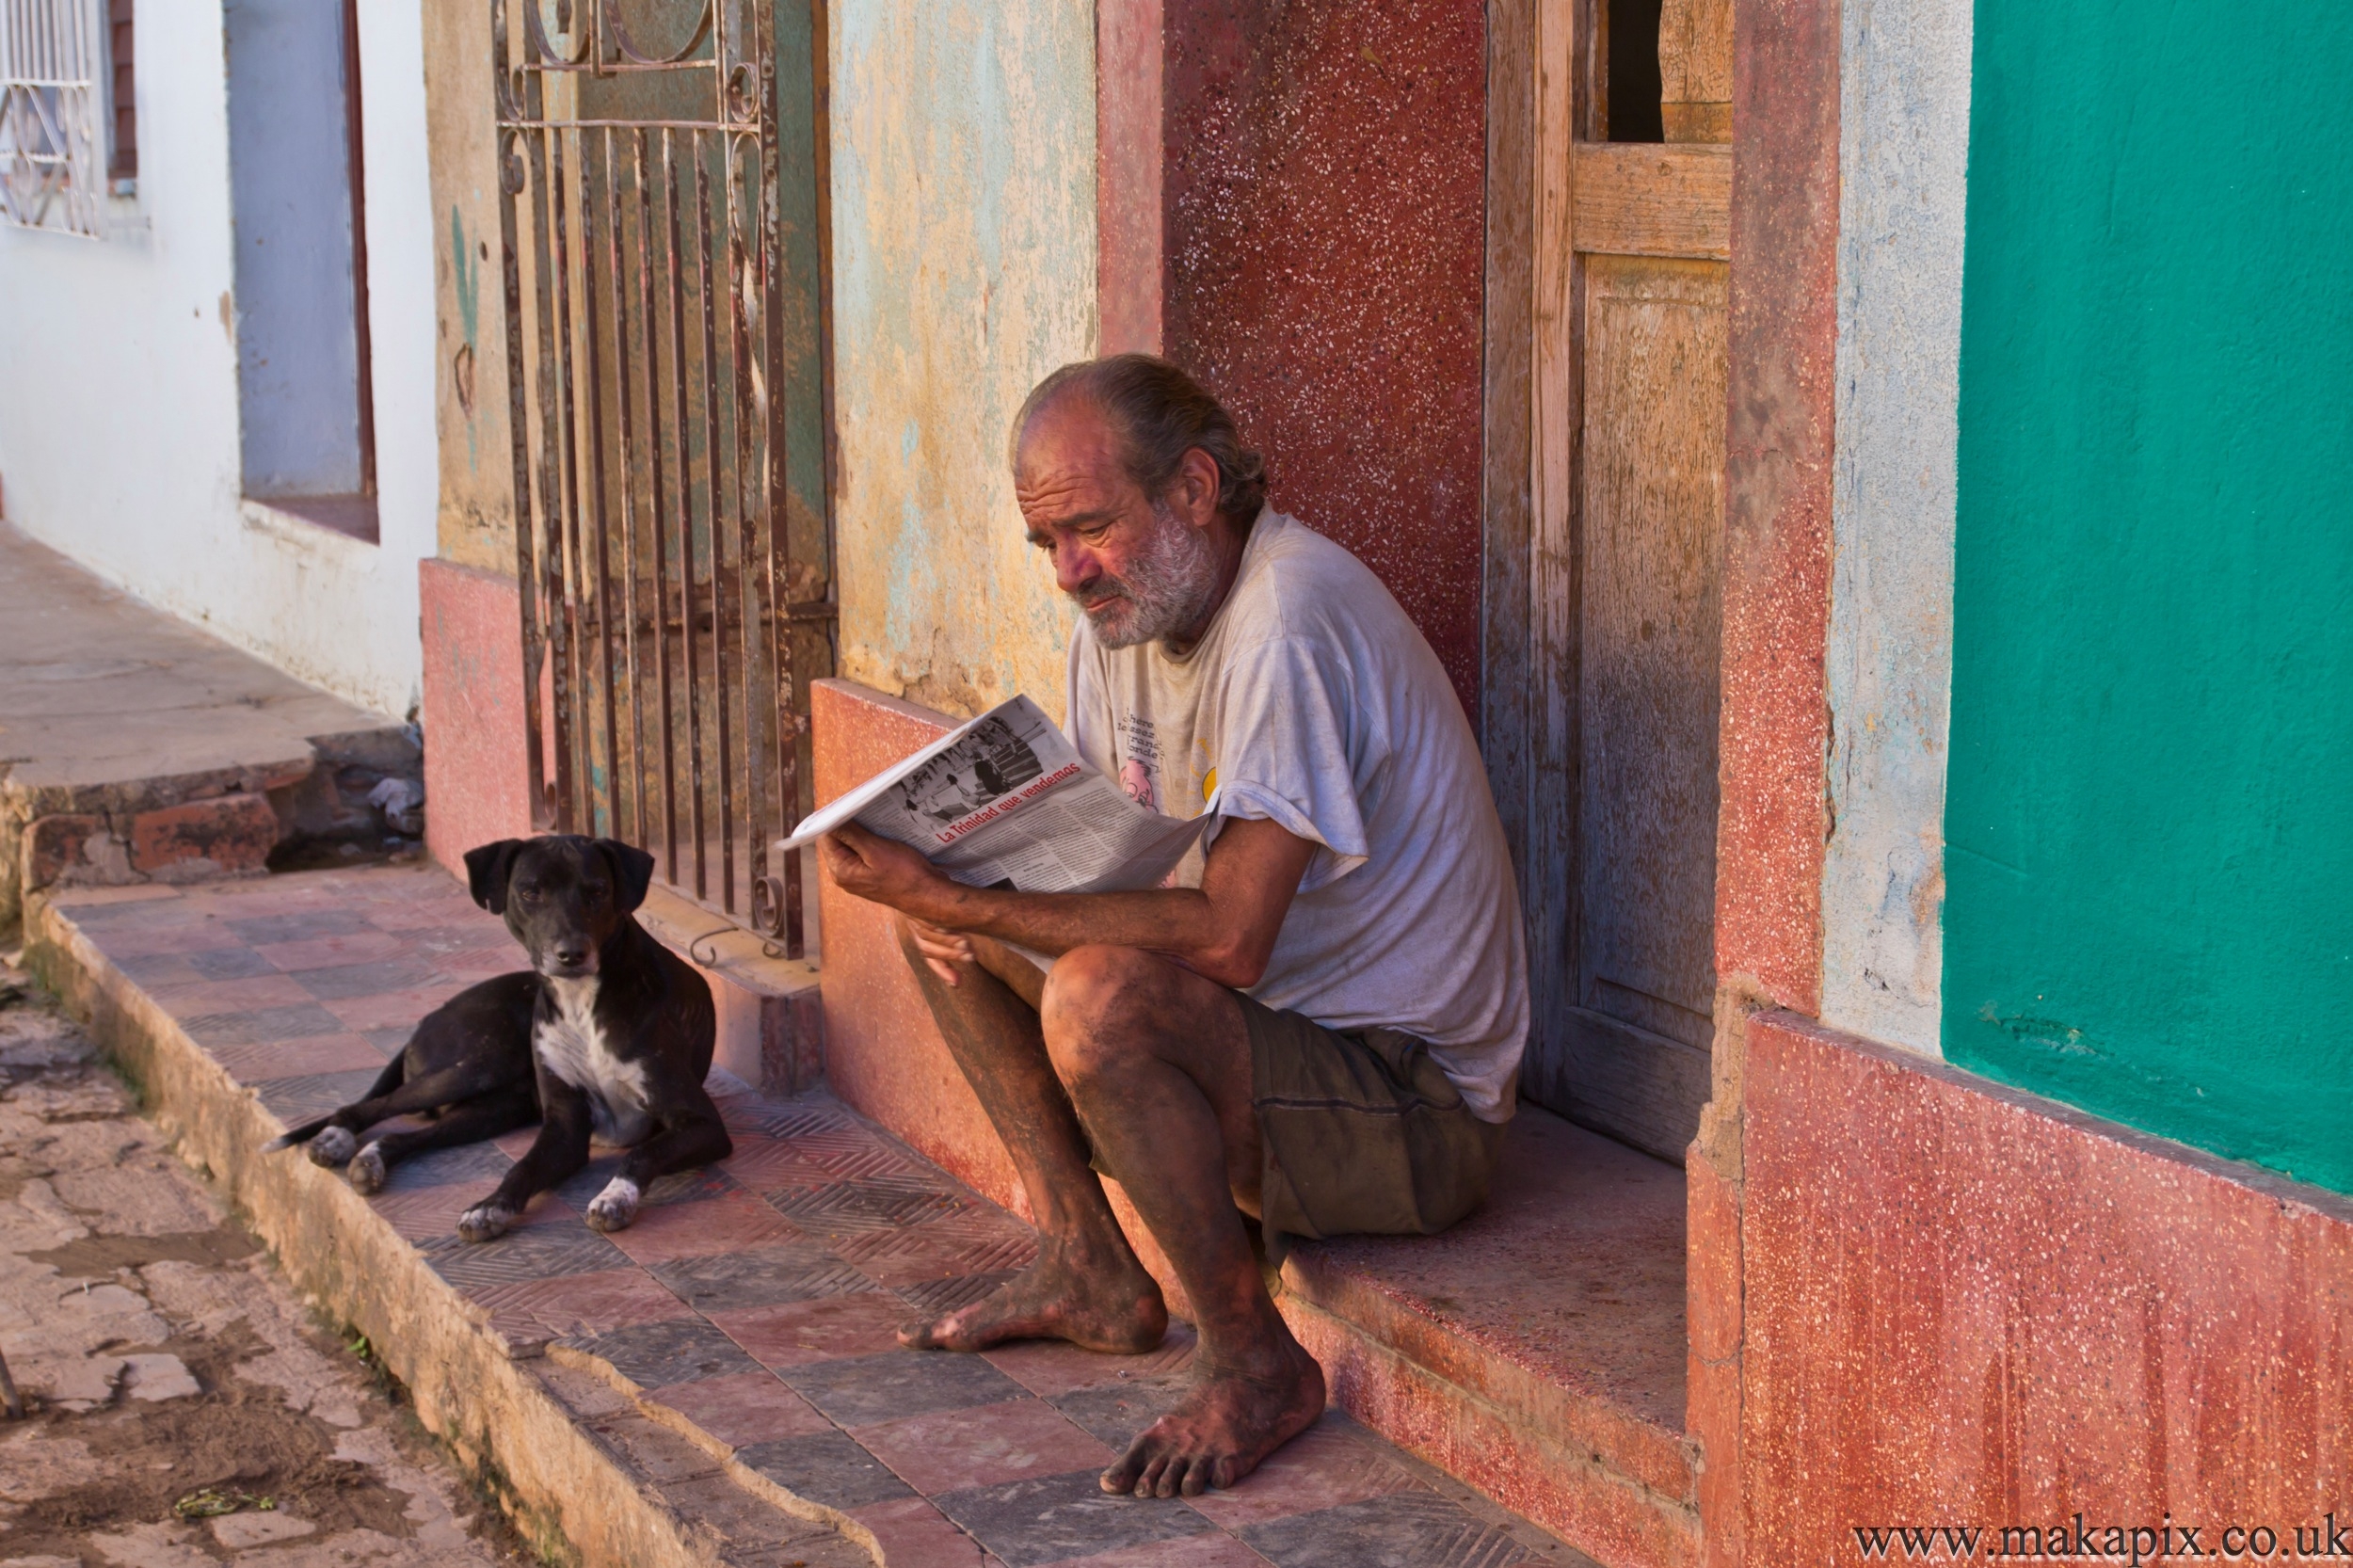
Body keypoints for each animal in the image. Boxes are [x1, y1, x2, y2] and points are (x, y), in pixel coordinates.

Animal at [447, 838, 725, 1242]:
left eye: (597, 891)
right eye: (530, 892)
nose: (571, 953)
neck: (581, 1003)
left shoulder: (703, 1123)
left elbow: (643, 1152)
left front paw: (614, 1197)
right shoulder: (565, 1127)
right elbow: (521, 1167)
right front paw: (489, 1206)